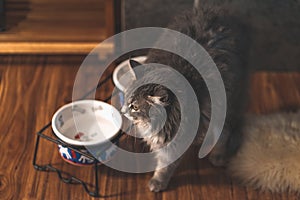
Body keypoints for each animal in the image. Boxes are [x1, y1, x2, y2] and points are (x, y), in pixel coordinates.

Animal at [120, 7, 250, 192]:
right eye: (127, 98)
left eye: (135, 107)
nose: (122, 110)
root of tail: (216, 13)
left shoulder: (175, 143)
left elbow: (165, 166)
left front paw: (157, 183)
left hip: (228, 103)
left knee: (225, 132)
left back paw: (217, 157)